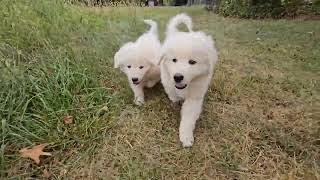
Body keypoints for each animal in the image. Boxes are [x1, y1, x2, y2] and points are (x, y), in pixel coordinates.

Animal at [160, 13, 218, 146]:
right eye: (174, 60)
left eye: (192, 62)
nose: (177, 77)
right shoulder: (167, 80)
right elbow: (171, 92)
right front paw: (175, 100)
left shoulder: (194, 97)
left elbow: (188, 117)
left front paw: (186, 136)